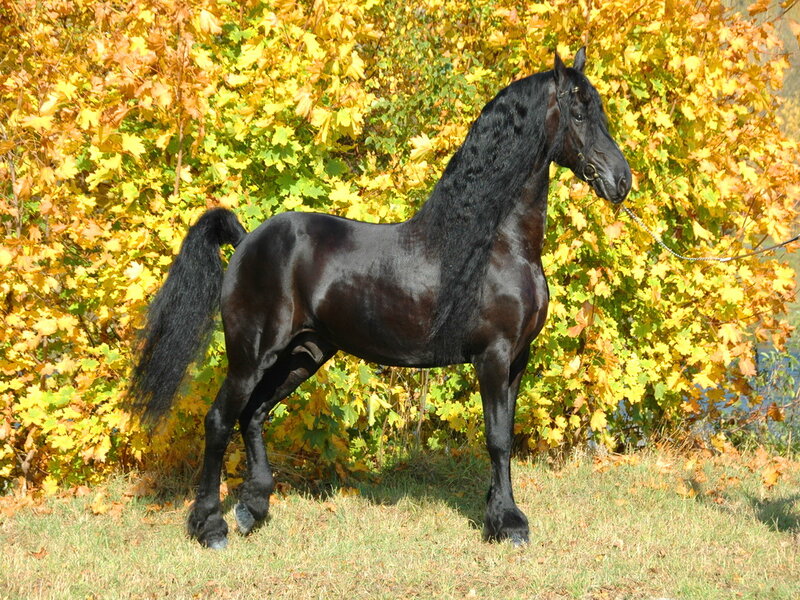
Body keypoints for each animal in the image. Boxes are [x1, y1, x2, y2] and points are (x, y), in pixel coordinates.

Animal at [129, 48, 632, 549]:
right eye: (579, 112)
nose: (621, 181)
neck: (498, 246)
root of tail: (247, 239)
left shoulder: (517, 359)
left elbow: (504, 433)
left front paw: (497, 515)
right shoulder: (493, 356)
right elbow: (497, 439)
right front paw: (508, 524)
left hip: (303, 354)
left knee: (254, 415)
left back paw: (253, 509)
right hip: (251, 356)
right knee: (219, 420)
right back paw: (210, 526)